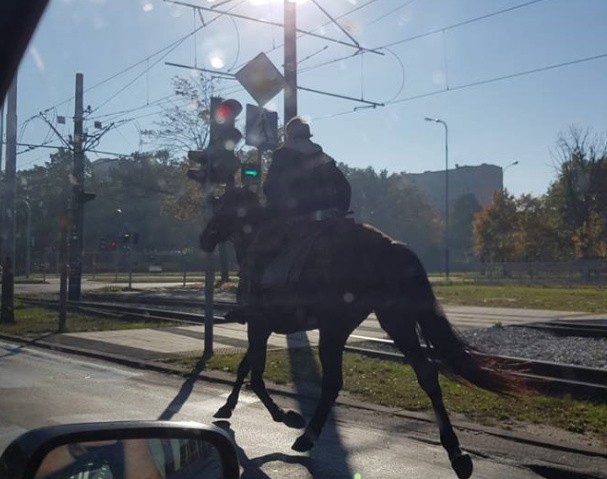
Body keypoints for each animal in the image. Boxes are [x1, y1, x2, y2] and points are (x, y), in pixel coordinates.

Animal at [200, 188, 524, 479]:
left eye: (220, 207)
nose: (204, 238)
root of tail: (388, 245)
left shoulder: (259, 325)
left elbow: (253, 372)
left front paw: (282, 415)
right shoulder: (261, 328)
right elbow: (247, 366)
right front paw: (229, 407)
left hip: (336, 327)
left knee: (333, 382)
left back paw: (307, 435)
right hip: (393, 321)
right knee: (426, 374)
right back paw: (456, 453)